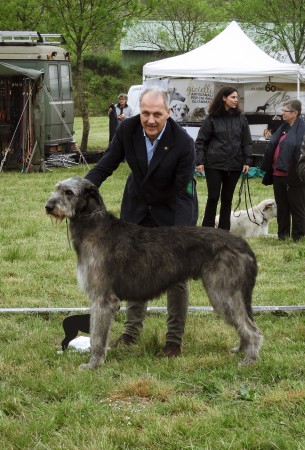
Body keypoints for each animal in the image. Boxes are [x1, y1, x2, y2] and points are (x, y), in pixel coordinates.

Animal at [45, 176, 262, 370]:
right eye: (57, 188)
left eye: (69, 192)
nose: (48, 206)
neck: (93, 226)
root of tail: (242, 244)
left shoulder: (102, 298)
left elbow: (97, 336)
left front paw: (93, 364)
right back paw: (241, 350)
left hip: (222, 292)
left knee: (251, 329)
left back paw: (249, 360)